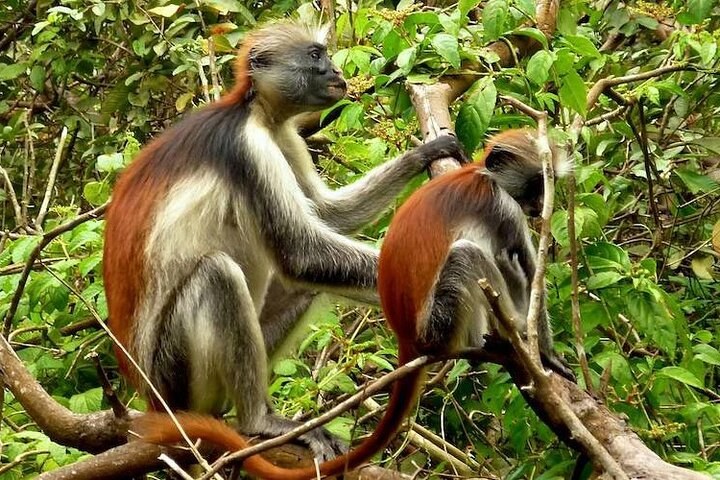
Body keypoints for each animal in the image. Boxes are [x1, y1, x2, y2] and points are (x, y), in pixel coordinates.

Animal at [103, 19, 467, 466]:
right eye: (315, 56)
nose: (336, 72)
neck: (256, 112)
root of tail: (152, 398)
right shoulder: (248, 149)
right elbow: (301, 253)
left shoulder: (283, 136)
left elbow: (328, 215)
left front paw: (426, 153)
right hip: (174, 373)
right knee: (218, 274)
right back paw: (258, 420)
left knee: (302, 286)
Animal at [132, 128, 573, 479]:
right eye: (535, 184)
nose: (540, 206)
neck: (480, 175)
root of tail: (409, 337)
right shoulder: (504, 208)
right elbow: (526, 270)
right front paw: (546, 355)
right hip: (439, 320)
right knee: (471, 256)